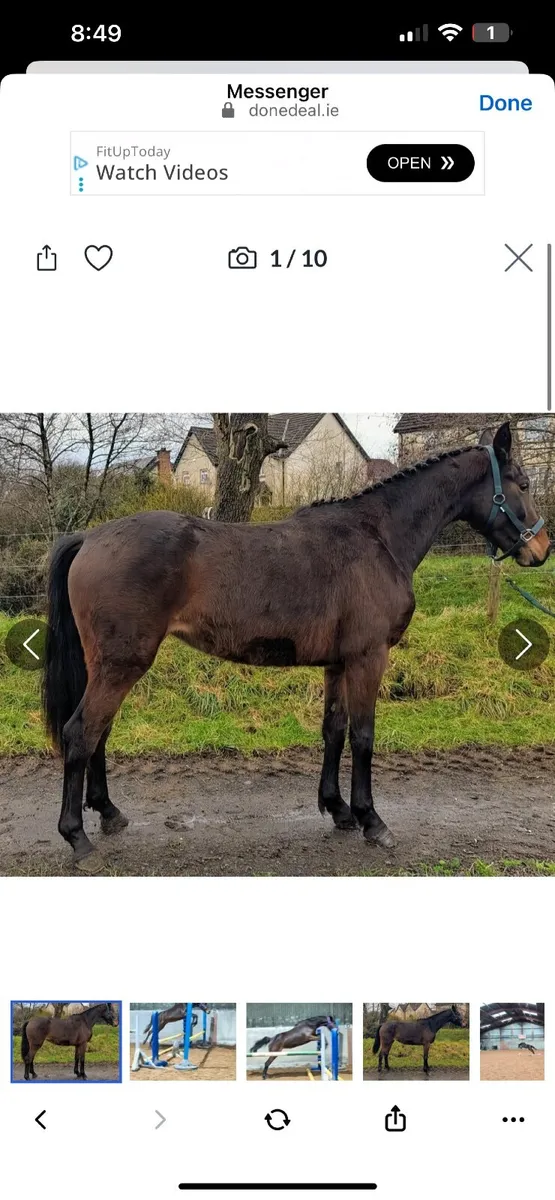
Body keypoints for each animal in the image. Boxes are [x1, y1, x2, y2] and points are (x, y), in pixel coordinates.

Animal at [42, 421, 550, 872]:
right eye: (524, 483)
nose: (541, 548)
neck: (378, 537)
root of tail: (91, 537)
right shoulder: (368, 659)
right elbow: (363, 736)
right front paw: (372, 820)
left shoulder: (338, 664)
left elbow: (334, 730)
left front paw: (339, 810)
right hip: (122, 664)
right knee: (81, 733)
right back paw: (77, 837)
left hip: (107, 665)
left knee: (100, 732)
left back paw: (109, 813)